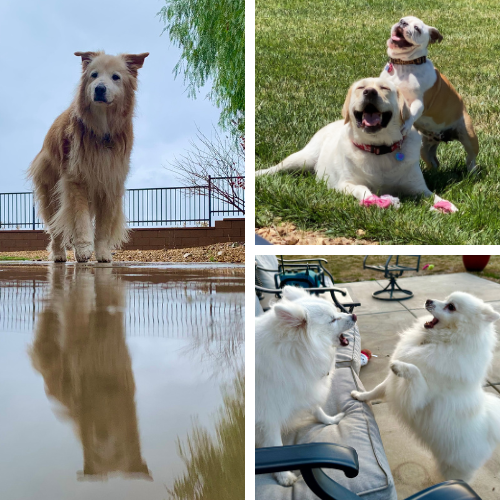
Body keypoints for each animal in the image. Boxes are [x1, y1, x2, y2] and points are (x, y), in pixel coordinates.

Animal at [28, 50, 148, 262]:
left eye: (115, 77)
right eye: (94, 75)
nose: (99, 89)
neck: (102, 128)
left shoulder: (110, 183)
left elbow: (103, 227)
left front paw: (102, 253)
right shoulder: (77, 180)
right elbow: (81, 220)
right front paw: (84, 248)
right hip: (51, 194)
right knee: (55, 229)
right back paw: (59, 254)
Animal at [256, 77, 456, 210]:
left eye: (384, 88)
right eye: (361, 87)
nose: (370, 92)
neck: (378, 148)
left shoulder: (417, 187)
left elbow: (433, 195)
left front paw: (447, 206)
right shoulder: (345, 184)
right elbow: (363, 189)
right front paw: (375, 200)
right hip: (302, 158)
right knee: (278, 167)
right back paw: (259, 174)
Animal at [256, 286, 358, 484]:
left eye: (337, 312)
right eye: (333, 320)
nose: (354, 316)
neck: (295, 353)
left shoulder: (305, 389)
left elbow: (317, 409)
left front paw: (330, 421)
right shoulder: (269, 414)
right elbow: (275, 443)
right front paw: (283, 476)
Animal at [352, 292, 500, 482]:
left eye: (451, 307)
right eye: (446, 298)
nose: (429, 300)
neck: (436, 341)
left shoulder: (419, 397)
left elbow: (415, 372)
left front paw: (400, 367)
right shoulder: (391, 383)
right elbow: (375, 390)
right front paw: (359, 395)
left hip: (454, 468)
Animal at [380, 16, 478, 172]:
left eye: (417, 29)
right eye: (402, 19)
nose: (403, 23)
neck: (404, 64)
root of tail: (442, 137)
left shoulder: (418, 102)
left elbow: (412, 113)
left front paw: (406, 126)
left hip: (469, 136)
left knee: (471, 157)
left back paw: (472, 172)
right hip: (425, 147)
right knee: (433, 162)